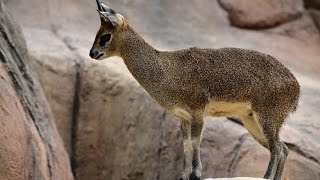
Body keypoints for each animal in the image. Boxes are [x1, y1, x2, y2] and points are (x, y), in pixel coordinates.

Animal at [89, 0, 300, 179]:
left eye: (105, 36)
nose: (92, 53)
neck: (166, 69)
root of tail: (295, 86)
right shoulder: (183, 117)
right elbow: (186, 145)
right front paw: (184, 175)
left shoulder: (197, 112)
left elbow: (195, 142)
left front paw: (196, 174)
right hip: (251, 120)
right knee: (283, 148)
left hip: (267, 117)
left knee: (277, 149)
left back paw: (267, 177)